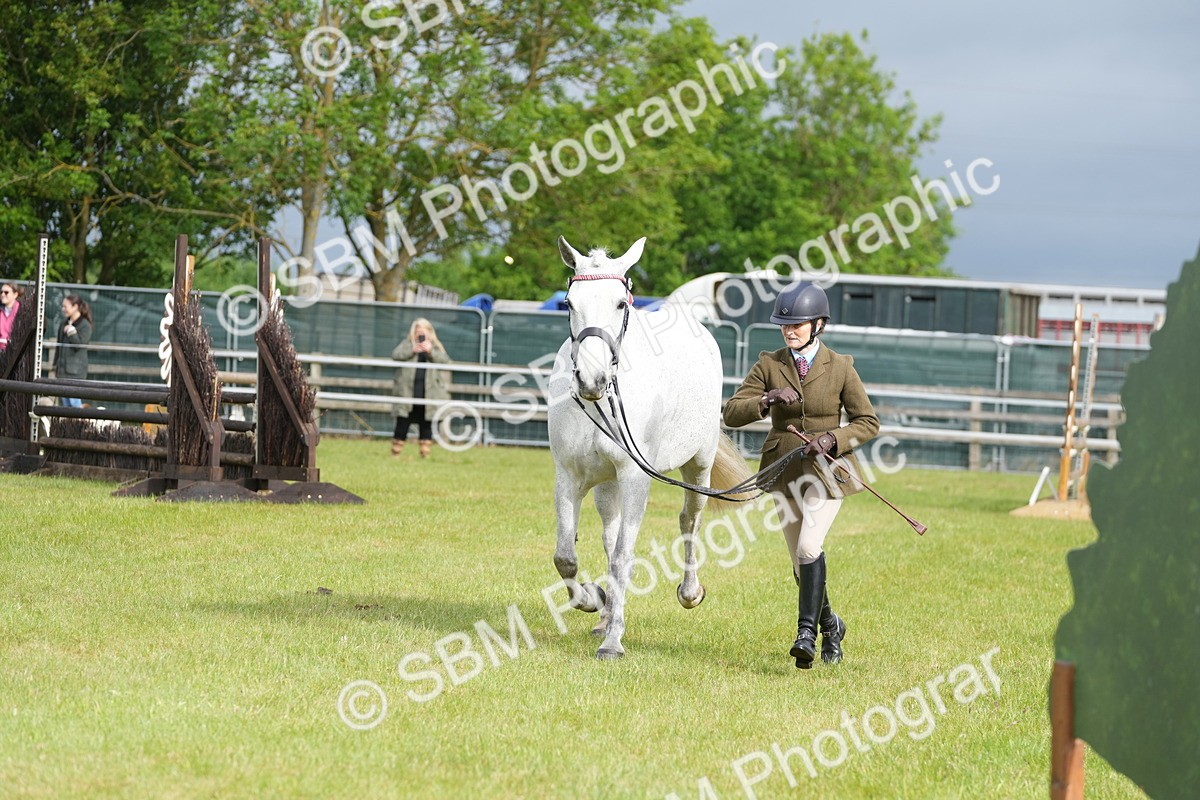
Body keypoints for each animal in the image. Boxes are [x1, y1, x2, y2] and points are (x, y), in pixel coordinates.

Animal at [547, 235, 754, 659]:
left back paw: (689, 592)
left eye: (620, 303)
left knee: (689, 520)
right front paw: (594, 600)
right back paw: (604, 612)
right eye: (569, 303)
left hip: (698, 466)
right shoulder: (569, 477)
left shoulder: (635, 477)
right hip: (607, 484)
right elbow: (566, 557)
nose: (591, 378)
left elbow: (624, 558)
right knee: (609, 537)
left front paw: (613, 642)